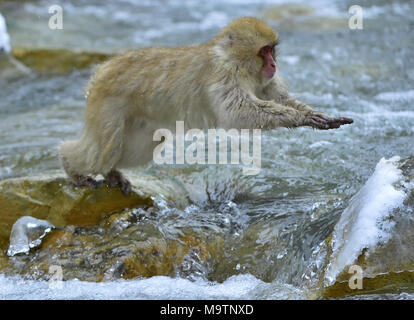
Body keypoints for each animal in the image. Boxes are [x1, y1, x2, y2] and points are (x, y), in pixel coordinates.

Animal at [59, 16, 354, 195]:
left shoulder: (262, 80)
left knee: (136, 150)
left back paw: (109, 172)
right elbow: (237, 112)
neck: (237, 61)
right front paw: (298, 118)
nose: (273, 64)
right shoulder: (225, 74)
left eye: (272, 49)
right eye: (264, 51)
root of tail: (102, 69)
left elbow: (277, 98)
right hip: (107, 105)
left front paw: (315, 115)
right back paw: (70, 165)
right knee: (105, 150)